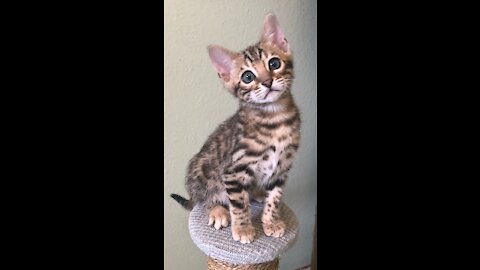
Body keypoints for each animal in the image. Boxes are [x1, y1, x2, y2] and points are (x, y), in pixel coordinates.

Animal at [171, 13, 300, 245]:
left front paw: (271, 221)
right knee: (203, 199)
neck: (274, 118)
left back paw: (257, 192)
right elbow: (238, 204)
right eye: (248, 77)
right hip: (201, 168)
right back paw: (218, 211)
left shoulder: (282, 167)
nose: (267, 82)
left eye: (274, 63)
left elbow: (275, 197)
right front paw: (243, 228)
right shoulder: (232, 170)